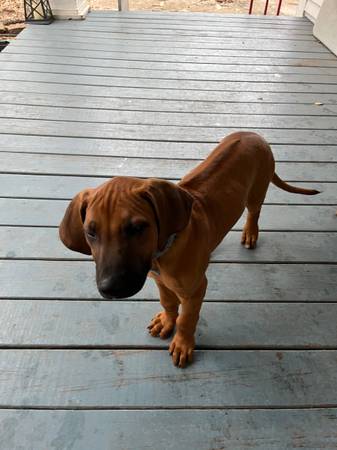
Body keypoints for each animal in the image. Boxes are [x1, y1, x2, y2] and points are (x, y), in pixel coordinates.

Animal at [59, 130, 318, 366]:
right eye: (90, 232)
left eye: (137, 228)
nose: (111, 289)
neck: (163, 251)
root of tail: (255, 135)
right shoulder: (160, 280)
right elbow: (168, 302)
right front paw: (166, 321)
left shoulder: (195, 290)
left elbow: (187, 319)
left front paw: (182, 344)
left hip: (256, 191)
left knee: (254, 211)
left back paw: (250, 233)